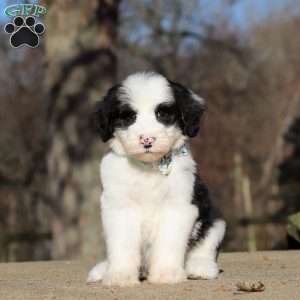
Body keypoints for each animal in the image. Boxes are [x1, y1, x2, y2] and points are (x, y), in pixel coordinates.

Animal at [86, 72, 225, 286]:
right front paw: (120, 276)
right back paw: (103, 269)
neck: (148, 168)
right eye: (129, 117)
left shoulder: (178, 206)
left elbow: (170, 241)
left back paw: (199, 267)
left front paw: (166, 274)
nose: (147, 140)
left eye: (163, 114)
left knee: (206, 244)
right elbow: (122, 243)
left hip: (215, 221)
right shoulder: (119, 207)